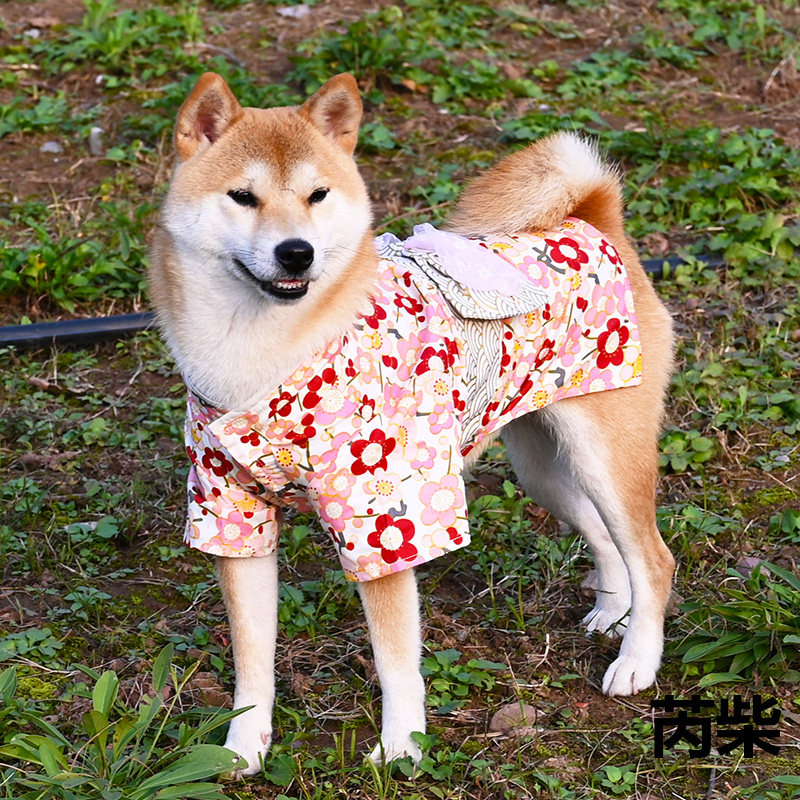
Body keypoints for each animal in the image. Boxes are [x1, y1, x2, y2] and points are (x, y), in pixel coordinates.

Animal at [148, 72, 675, 775]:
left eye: (318, 195)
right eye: (243, 196)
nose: (296, 252)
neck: (258, 351)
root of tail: (591, 220)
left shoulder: (382, 524)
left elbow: (396, 658)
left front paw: (401, 748)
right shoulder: (231, 515)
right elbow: (252, 661)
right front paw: (241, 747)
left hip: (605, 455)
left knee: (655, 558)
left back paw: (636, 661)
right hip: (543, 469)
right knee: (604, 535)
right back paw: (612, 614)